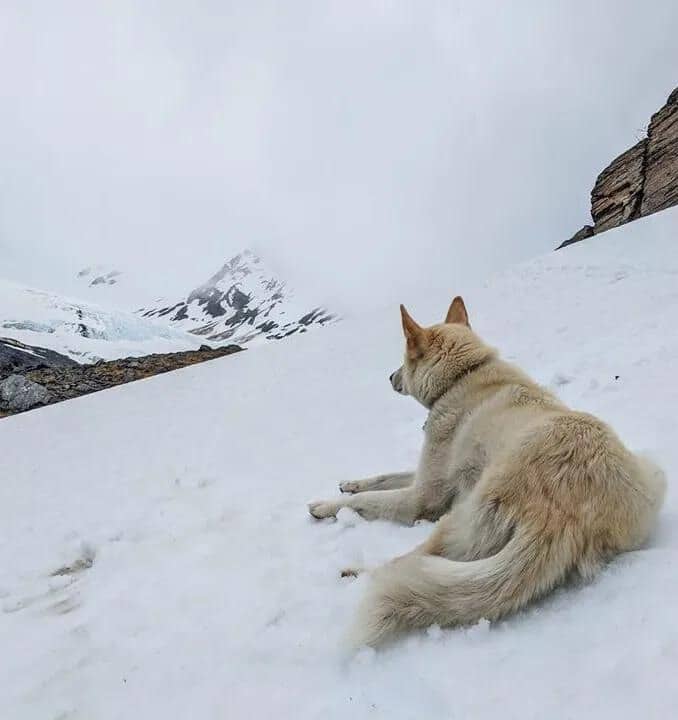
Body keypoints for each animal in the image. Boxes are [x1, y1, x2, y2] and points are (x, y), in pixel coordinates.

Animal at [310, 298, 668, 648]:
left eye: (404, 357)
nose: (390, 377)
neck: (464, 375)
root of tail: (565, 515)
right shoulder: (429, 476)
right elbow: (384, 477)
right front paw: (350, 483)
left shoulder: (423, 498)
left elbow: (370, 501)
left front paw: (326, 507)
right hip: (653, 471)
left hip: (458, 517)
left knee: (407, 563)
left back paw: (357, 573)